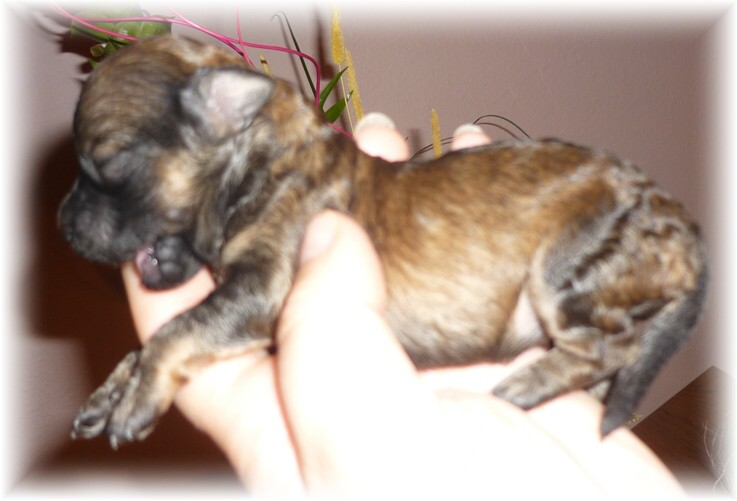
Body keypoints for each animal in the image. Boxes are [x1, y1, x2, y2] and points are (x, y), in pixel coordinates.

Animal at [59, 35, 708, 448]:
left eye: (106, 162)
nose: (62, 224)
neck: (261, 162)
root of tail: (683, 227)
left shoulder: (262, 289)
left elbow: (175, 330)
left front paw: (137, 399)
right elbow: (156, 338)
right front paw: (110, 392)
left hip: (565, 270)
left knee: (610, 346)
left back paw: (526, 385)